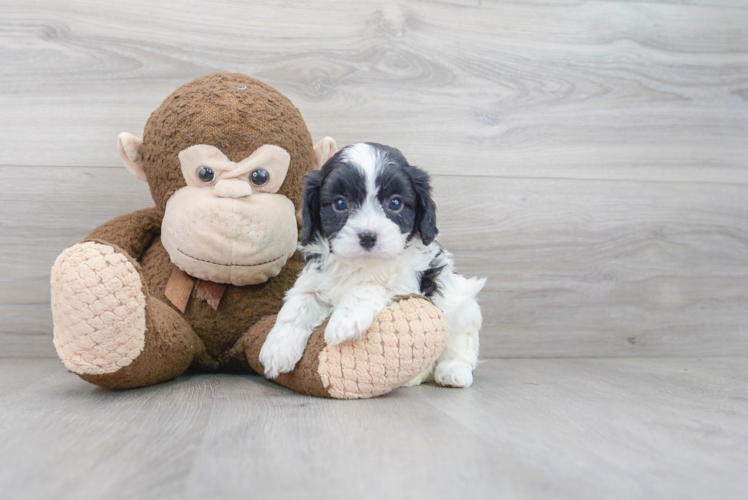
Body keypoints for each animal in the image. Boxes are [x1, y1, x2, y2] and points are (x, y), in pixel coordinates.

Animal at [260, 143, 488, 388]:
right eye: (340, 203)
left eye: (395, 203)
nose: (368, 236)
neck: (362, 264)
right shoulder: (314, 279)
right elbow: (298, 305)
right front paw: (277, 348)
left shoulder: (409, 282)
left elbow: (369, 286)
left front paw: (345, 320)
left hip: (464, 308)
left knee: (462, 343)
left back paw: (453, 371)